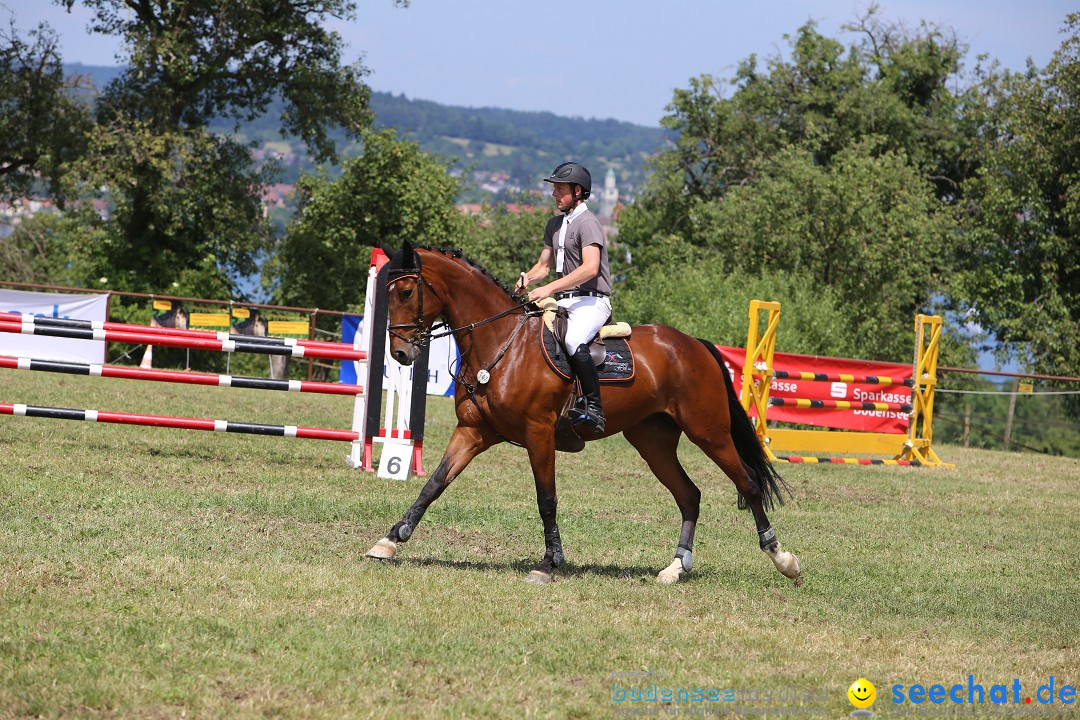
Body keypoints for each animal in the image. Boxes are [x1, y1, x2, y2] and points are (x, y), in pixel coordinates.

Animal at [367, 241, 799, 587]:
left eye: (406, 290)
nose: (400, 354)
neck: (501, 344)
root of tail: (693, 344)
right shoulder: (473, 431)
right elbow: (434, 484)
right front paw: (390, 540)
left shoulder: (538, 434)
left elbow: (546, 499)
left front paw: (548, 563)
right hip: (652, 441)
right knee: (689, 495)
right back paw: (675, 568)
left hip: (708, 431)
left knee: (748, 484)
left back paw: (783, 559)